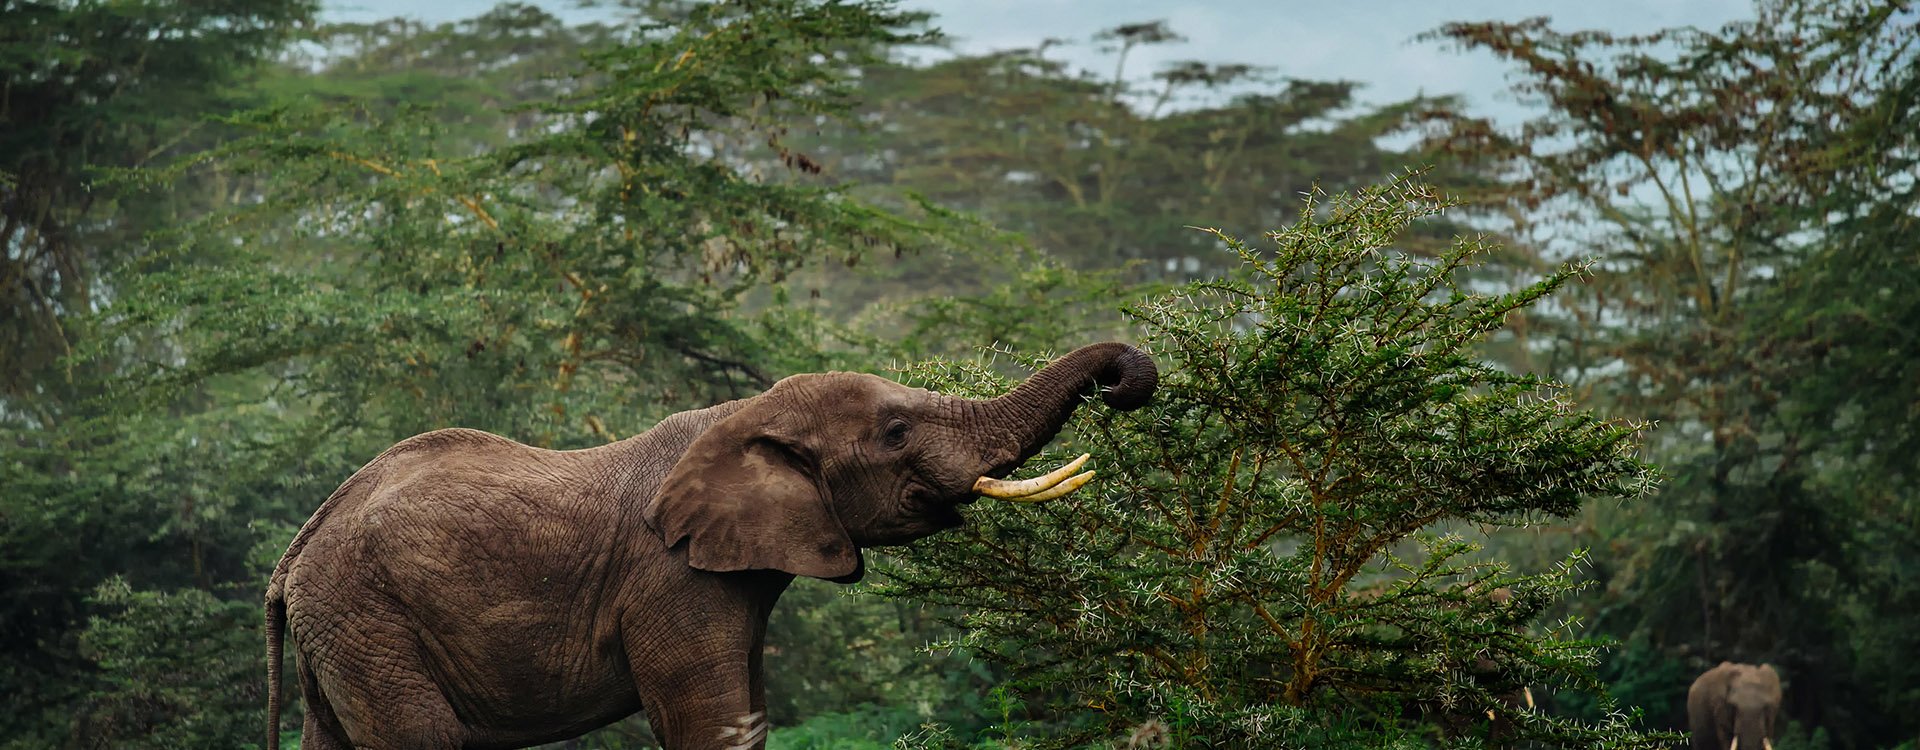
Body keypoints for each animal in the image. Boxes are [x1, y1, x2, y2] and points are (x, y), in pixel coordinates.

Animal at [263, 343, 1159, 748]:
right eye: (897, 432)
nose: (1123, 381)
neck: (744, 415)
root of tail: (294, 552)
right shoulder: (670, 579)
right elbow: (710, 720)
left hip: (343, 634)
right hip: (369, 619)